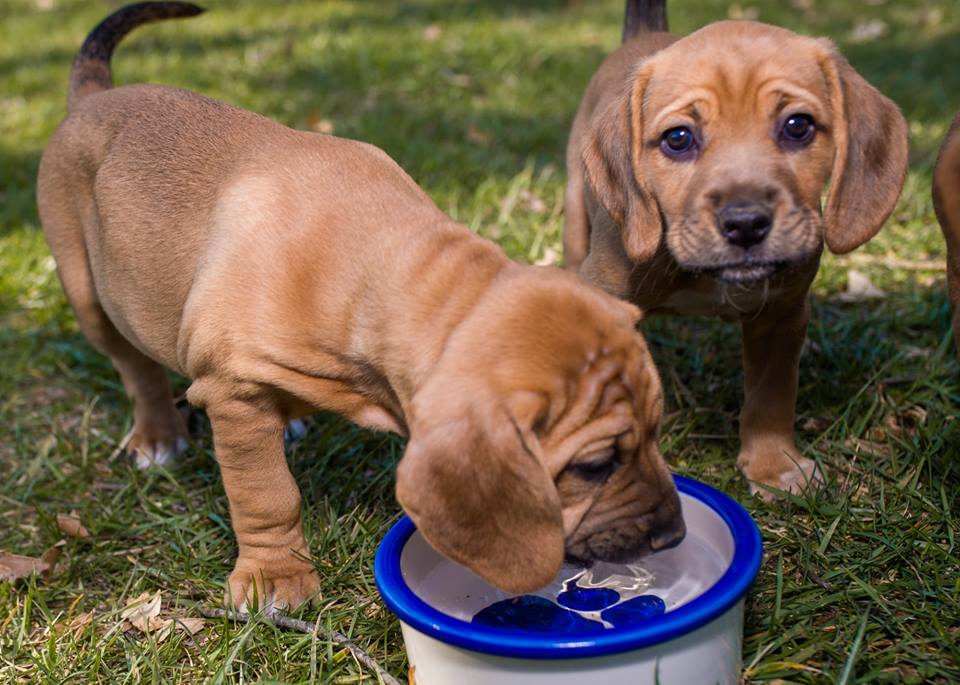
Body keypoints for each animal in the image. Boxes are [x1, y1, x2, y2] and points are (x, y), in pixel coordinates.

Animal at [37, 2, 684, 610]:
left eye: (658, 429)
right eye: (594, 466)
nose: (674, 536)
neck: (393, 267)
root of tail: (92, 96)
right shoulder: (230, 391)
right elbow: (267, 495)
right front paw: (276, 577)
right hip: (89, 294)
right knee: (136, 369)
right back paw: (159, 436)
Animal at [564, 0, 909, 498]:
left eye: (798, 127)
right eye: (678, 138)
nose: (745, 223)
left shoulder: (782, 315)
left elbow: (771, 396)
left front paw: (773, 466)